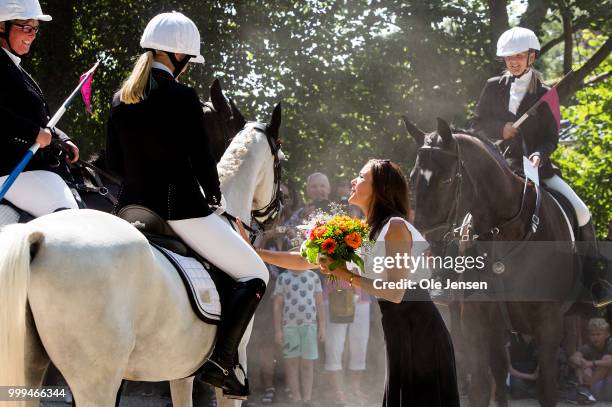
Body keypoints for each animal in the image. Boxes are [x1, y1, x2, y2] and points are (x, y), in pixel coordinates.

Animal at [0, 103, 282, 406]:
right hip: (95, 377)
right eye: (280, 160)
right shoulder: (229, 377)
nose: (278, 209)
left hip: (28, 368)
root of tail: (35, 236)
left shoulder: (180, 371)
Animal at [406, 117, 584, 407]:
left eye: (446, 180)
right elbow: (480, 387)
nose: (425, 239)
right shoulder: (475, 320)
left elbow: (547, 390)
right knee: (499, 375)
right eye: (412, 179)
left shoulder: (548, 325)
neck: (505, 230)